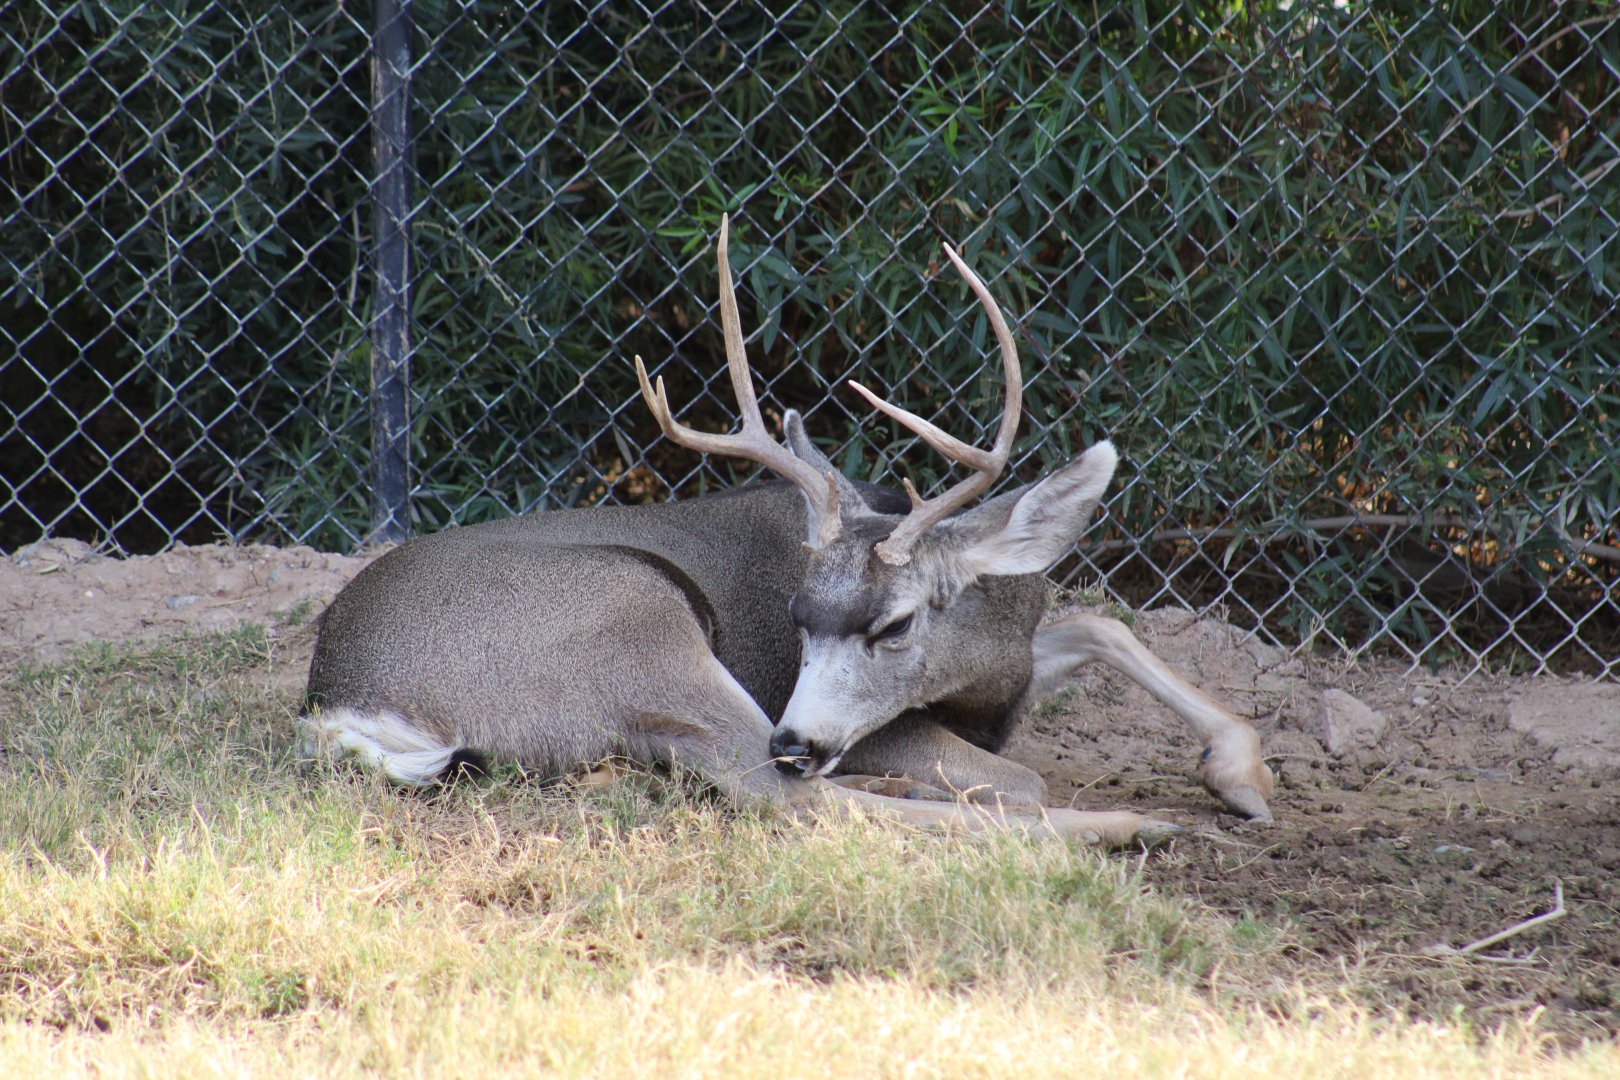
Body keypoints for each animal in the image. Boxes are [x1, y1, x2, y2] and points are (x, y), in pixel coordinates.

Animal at [301, 217, 1273, 846]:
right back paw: (1132, 826)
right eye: (797, 617)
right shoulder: (878, 723)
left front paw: (1244, 777)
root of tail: (341, 697)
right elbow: (1022, 774)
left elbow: (1103, 624)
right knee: (777, 794)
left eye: (896, 623)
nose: (800, 739)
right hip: (639, 618)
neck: (989, 680)